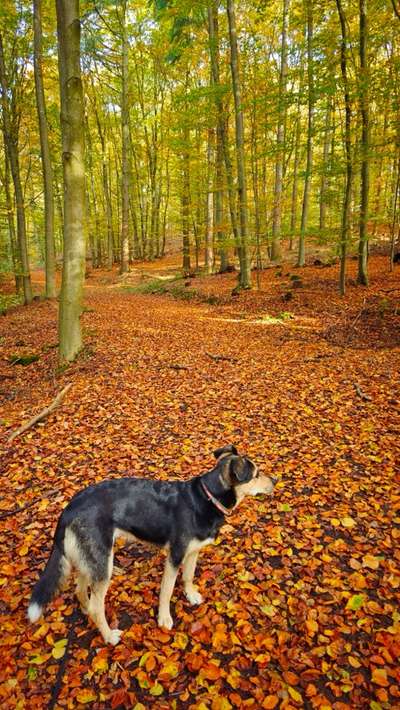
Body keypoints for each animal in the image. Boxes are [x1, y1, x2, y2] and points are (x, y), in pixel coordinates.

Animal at [28, 448, 276, 648]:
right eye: (256, 474)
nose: (275, 480)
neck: (207, 498)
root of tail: (68, 509)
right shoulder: (174, 556)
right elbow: (167, 591)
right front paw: (164, 618)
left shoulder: (193, 551)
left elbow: (188, 576)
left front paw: (191, 595)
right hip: (102, 563)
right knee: (98, 607)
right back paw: (108, 636)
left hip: (91, 559)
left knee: (80, 589)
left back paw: (86, 609)